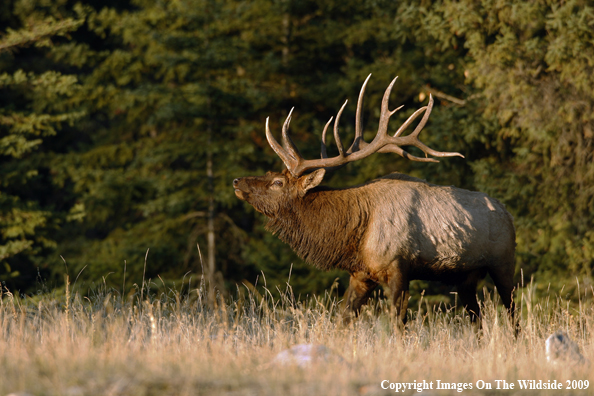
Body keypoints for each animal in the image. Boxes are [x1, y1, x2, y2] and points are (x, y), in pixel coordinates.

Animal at [231, 74, 512, 324]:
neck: (354, 236)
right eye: (269, 173)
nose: (237, 181)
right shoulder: (361, 274)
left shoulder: (398, 267)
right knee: (477, 320)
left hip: (504, 263)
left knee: (513, 314)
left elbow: (397, 323)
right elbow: (343, 319)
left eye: (277, 183)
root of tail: (507, 213)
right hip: (466, 279)